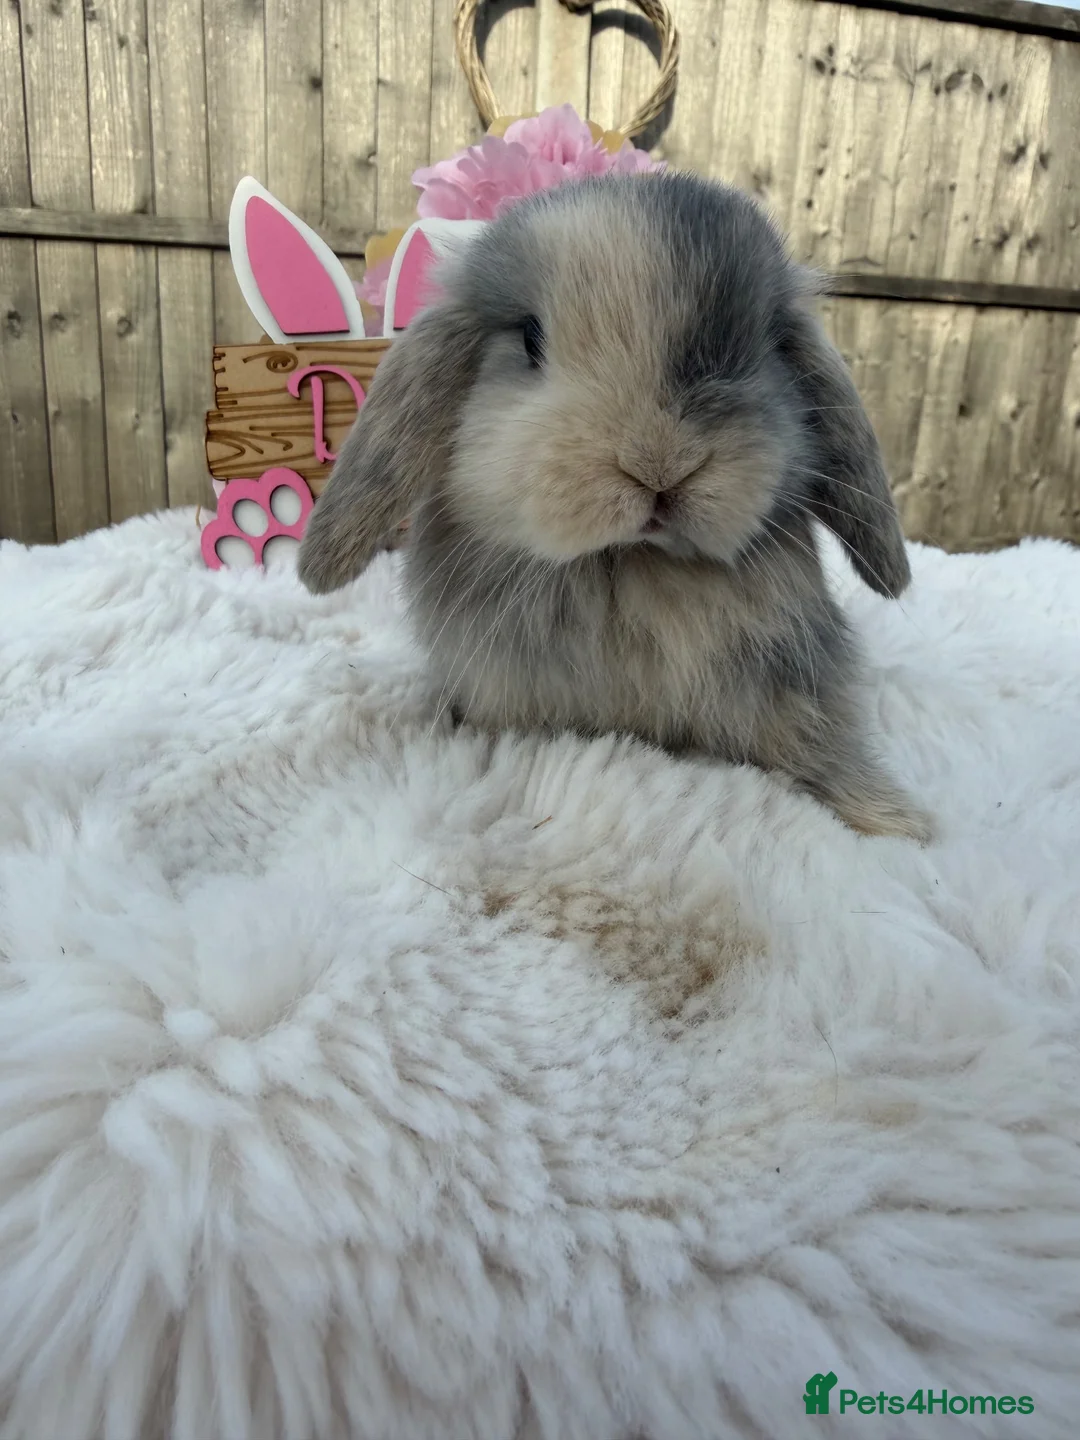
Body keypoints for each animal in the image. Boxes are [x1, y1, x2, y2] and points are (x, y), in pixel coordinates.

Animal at [298, 171, 931, 842]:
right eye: (531, 339)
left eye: (762, 345)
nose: (660, 463)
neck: (628, 563)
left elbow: (816, 745)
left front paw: (894, 819)